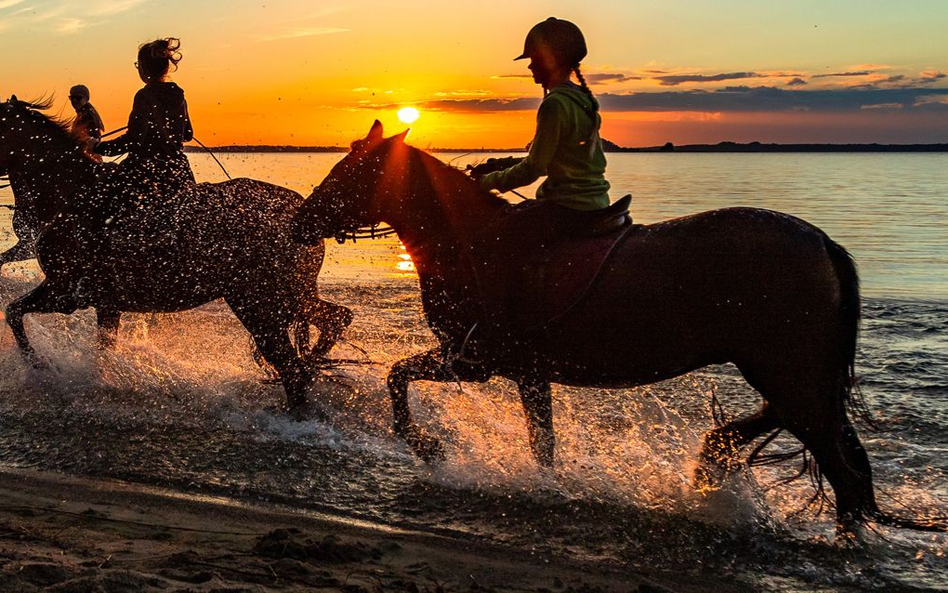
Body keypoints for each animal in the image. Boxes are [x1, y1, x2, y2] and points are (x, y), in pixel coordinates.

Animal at [0, 97, 352, 410]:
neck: (70, 192)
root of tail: (302, 213)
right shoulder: (106, 301)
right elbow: (103, 345)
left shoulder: (66, 292)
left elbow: (13, 311)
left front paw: (38, 364)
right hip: (288, 297)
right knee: (334, 320)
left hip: (259, 304)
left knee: (294, 368)